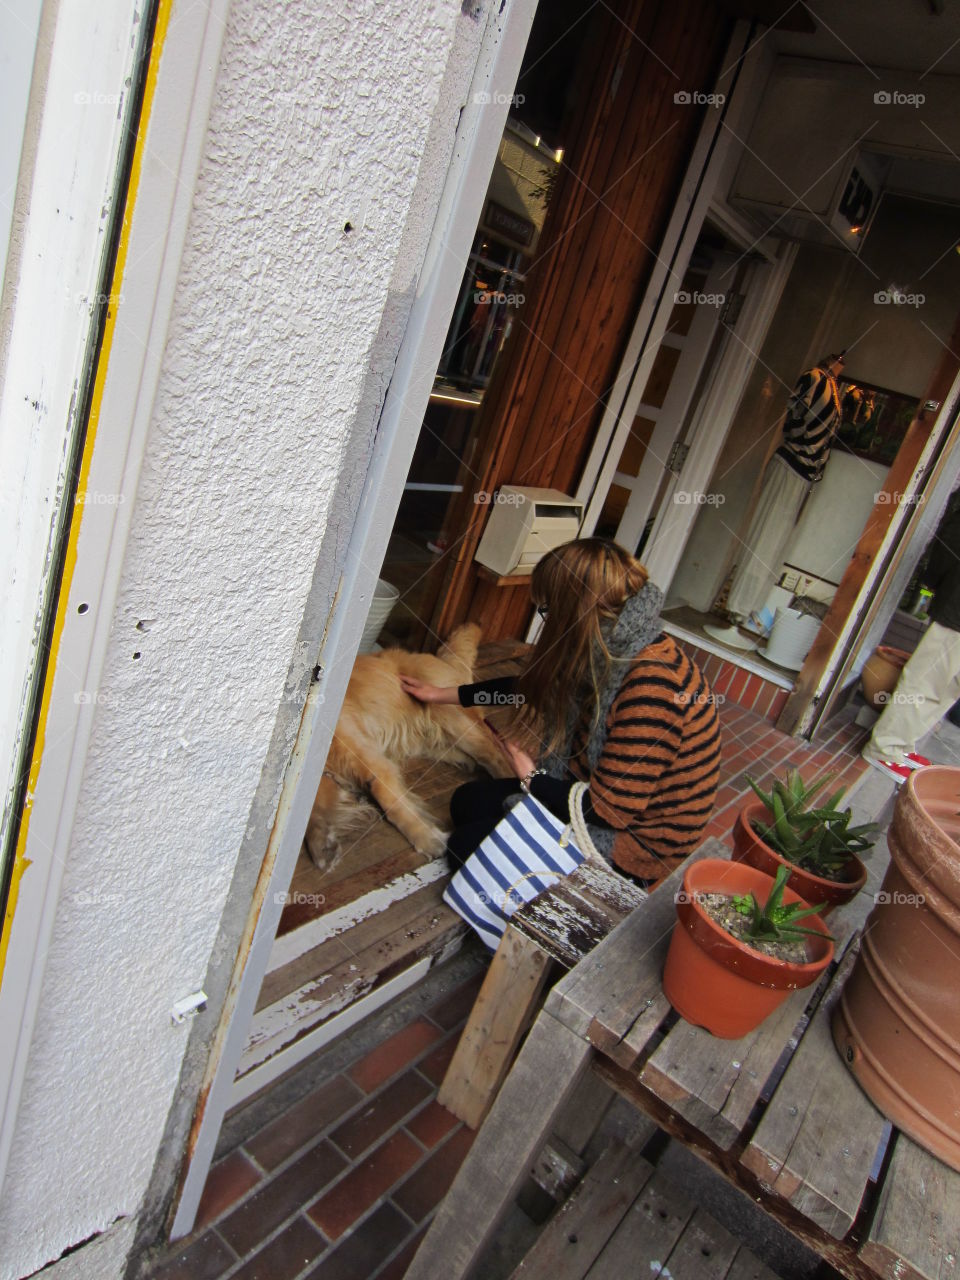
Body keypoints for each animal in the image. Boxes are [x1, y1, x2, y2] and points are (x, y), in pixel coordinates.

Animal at [309, 622, 514, 870]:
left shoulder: (369, 760)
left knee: (496, 753)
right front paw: (322, 845)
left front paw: (426, 837)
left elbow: (390, 800)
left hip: (455, 720)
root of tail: (437, 658)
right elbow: (312, 812)